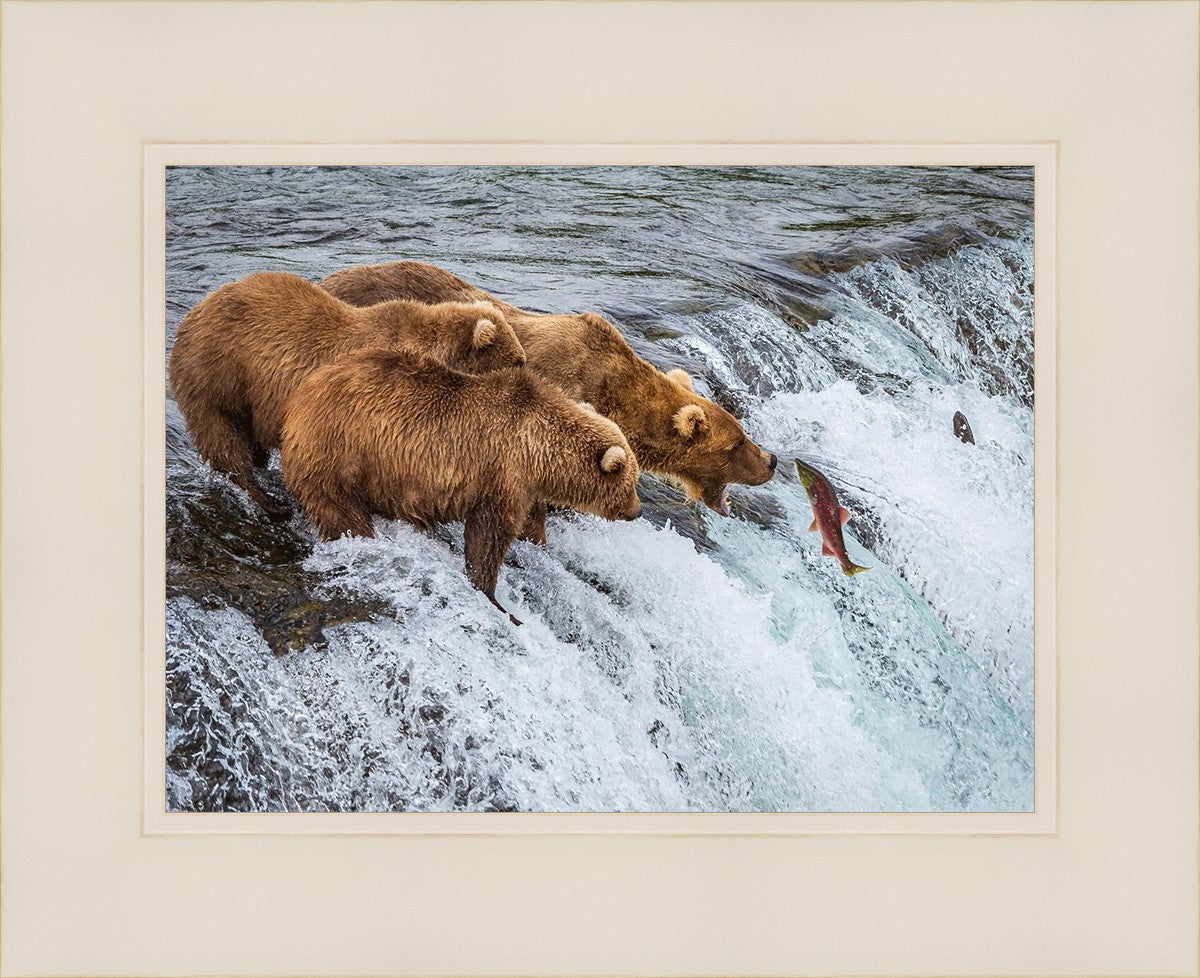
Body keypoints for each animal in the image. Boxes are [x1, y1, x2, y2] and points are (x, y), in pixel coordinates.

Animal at [169, 270, 526, 520]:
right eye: (517, 360)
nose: (527, 376)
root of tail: (193, 313)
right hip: (218, 376)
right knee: (223, 439)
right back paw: (269, 501)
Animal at [279, 348, 642, 623]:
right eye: (632, 482)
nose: (637, 511)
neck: (539, 450)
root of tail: (300, 398)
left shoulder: (525, 486)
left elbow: (529, 524)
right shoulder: (502, 472)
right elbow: (489, 535)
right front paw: (495, 597)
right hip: (340, 453)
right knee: (341, 512)